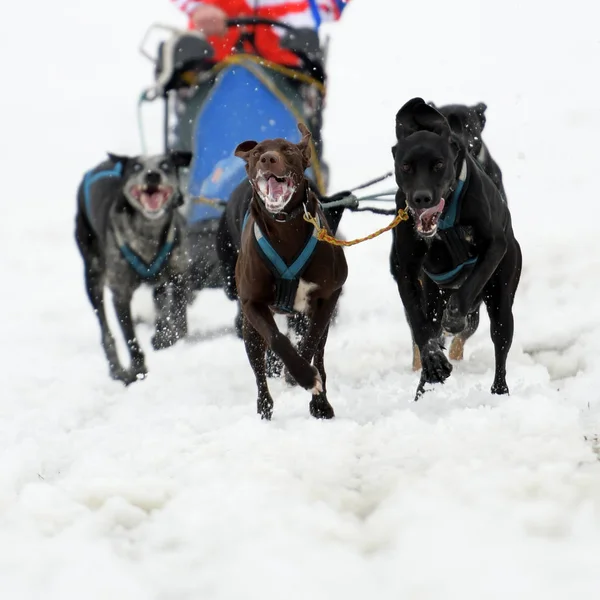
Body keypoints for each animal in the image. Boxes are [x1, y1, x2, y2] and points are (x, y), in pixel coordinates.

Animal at [73, 150, 192, 384]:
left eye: (165, 165)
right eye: (136, 167)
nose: (152, 175)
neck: (148, 234)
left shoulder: (178, 275)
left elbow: (177, 316)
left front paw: (166, 336)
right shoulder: (120, 294)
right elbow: (131, 339)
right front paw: (137, 370)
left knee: (160, 301)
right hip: (93, 278)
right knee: (106, 331)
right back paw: (117, 368)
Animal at [234, 124, 346, 420]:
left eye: (288, 150)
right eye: (257, 152)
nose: (268, 159)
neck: (286, 231)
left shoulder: (329, 294)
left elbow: (313, 337)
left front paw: (301, 377)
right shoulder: (253, 303)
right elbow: (278, 339)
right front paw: (302, 375)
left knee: (319, 351)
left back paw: (321, 404)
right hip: (249, 331)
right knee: (259, 371)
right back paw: (264, 408)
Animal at [390, 98, 520, 396]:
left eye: (439, 164)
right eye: (406, 166)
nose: (421, 197)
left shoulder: (494, 246)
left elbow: (469, 287)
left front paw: (455, 317)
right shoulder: (407, 271)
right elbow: (421, 327)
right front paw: (433, 361)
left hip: (502, 296)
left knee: (500, 340)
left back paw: (500, 391)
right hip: (432, 293)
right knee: (431, 326)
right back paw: (423, 386)